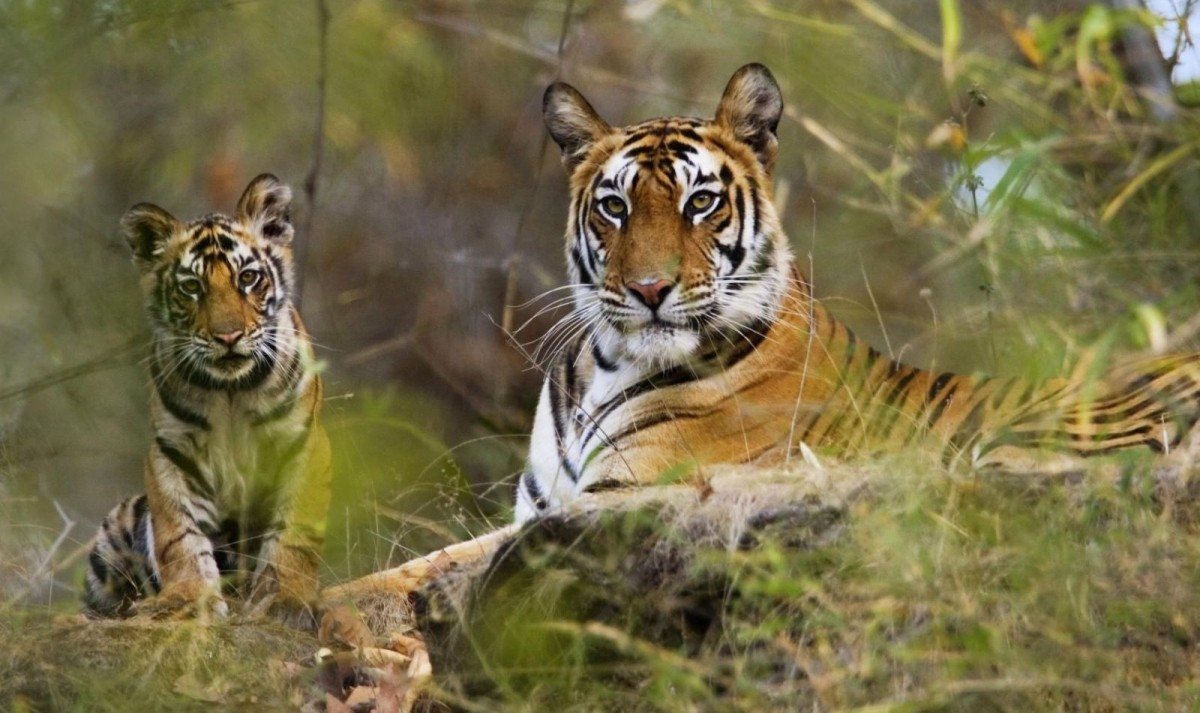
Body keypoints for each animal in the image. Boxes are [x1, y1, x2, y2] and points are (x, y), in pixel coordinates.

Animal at [83, 174, 331, 629]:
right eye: (192, 287)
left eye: (248, 278)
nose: (228, 336)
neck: (231, 391)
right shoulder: (172, 453)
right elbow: (179, 536)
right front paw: (188, 599)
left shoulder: (303, 445)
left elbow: (294, 536)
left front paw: (285, 601)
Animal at [328, 63, 1200, 604]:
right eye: (614, 206)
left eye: (700, 203)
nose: (650, 290)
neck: (603, 364)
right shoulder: (537, 510)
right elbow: (406, 567)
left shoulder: (611, 503)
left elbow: (424, 573)